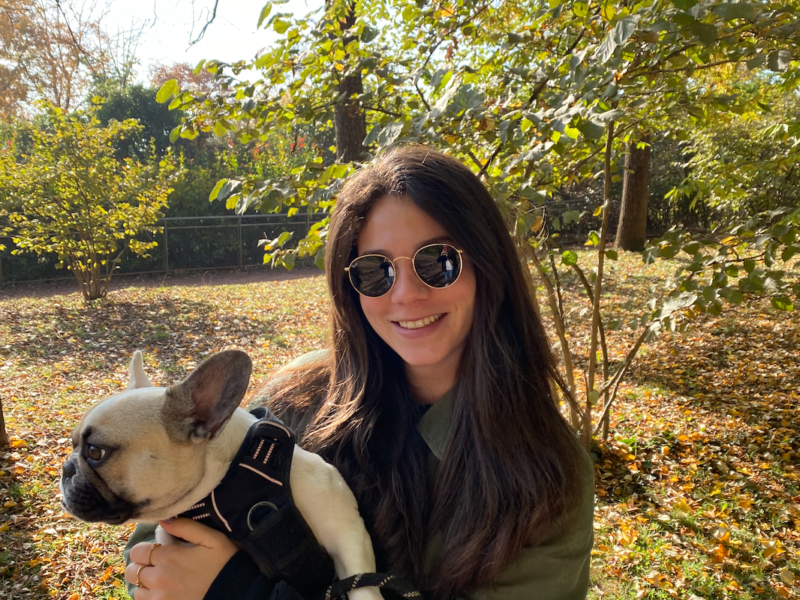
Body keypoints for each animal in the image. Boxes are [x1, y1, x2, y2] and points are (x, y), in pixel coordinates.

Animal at [60, 349, 381, 600]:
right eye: (74, 444)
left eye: (95, 452)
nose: (66, 468)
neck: (226, 481)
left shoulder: (344, 530)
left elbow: (361, 584)